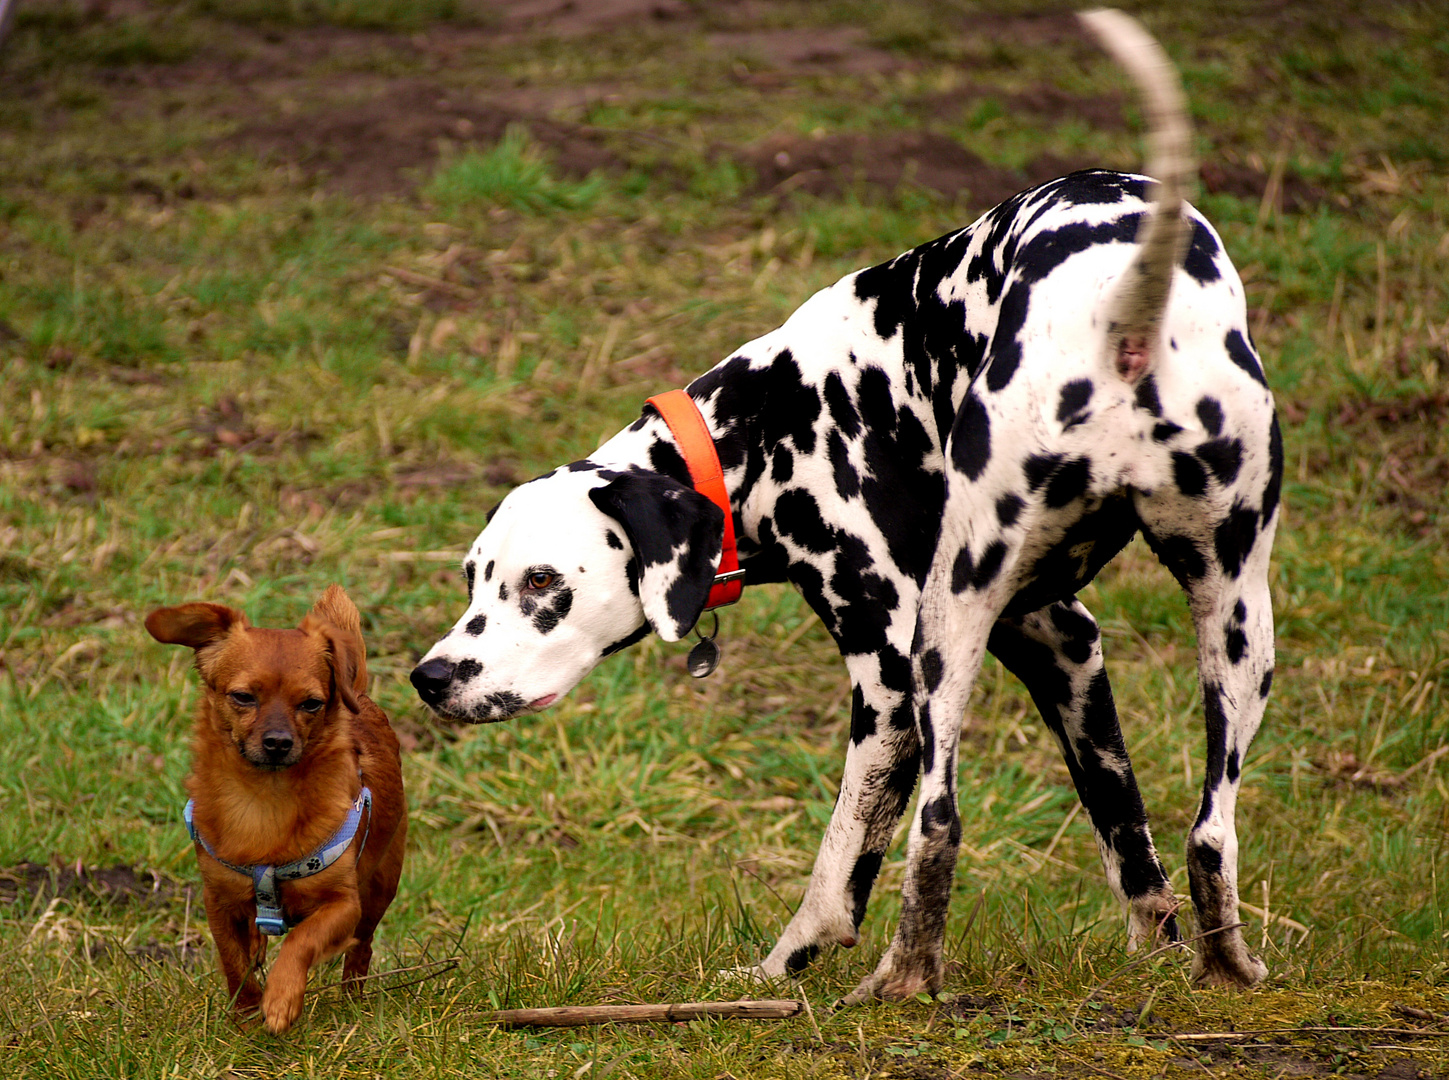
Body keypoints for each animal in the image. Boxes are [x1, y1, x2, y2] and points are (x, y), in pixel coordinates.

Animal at [146, 585, 405, 1032]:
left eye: (312, 704)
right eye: (243, 697)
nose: (278, 742)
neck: (265, 798)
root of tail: (360, 694)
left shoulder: (343, 905)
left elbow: (302, 940)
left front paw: (282, 998)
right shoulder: (219, 902)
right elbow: (233, 963)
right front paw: (247, 1015)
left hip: (379, 889)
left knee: (361, 947)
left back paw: (352, 999)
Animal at [411, 8, 1280, 997]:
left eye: (541, 582)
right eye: (473, 577)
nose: (429, 678)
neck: (762, 423)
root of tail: (1122, 313)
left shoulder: (889, 680)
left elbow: (842, 861)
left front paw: (779, 966)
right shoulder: (1059, 639)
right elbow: (1122, 820)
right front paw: (1156, 956)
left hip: (945, 641)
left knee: (937, 827)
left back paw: (900, 979)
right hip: (1233, 622)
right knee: (1210, 831)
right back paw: (1228, 964)